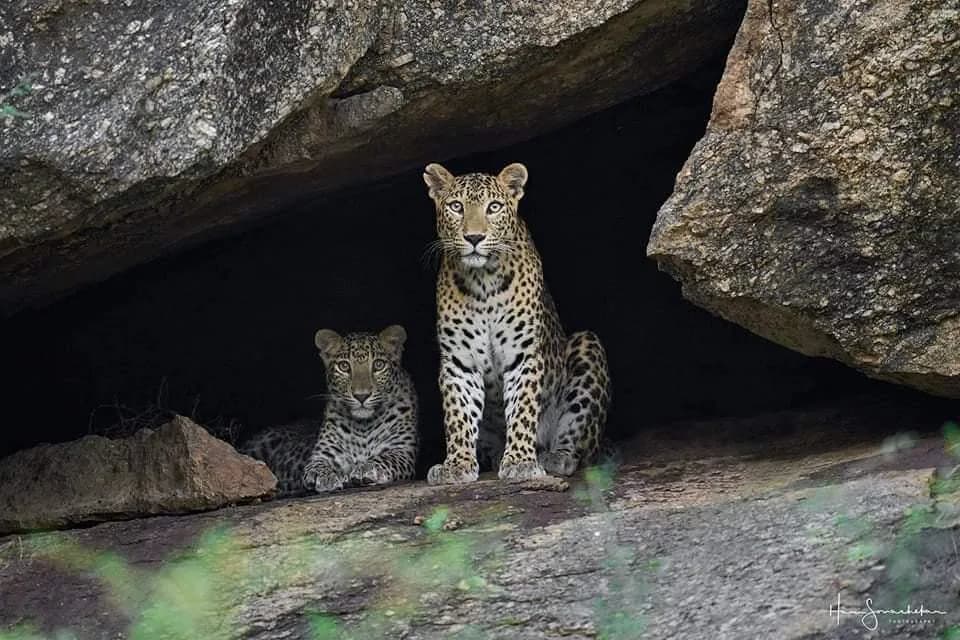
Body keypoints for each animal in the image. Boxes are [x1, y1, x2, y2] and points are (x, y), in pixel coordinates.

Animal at [240, 325, 418, 495]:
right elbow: (317, 466)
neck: (363, 425)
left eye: (378, 365)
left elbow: (386, 458)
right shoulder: (323, 454)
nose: (361, 396)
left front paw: (365, 468)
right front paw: (325, 477)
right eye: (344, 366)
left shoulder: (401, 451)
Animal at [422, 162, 611, 484]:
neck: (483, 281)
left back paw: (556, 457)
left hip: (587, 346)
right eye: (456, 206)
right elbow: (459, 414)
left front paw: (521, 461)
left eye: (494, 207)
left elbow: (523, 407)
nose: (474, 238)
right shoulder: (460, 361)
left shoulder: (523, 354)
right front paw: (457, 464)